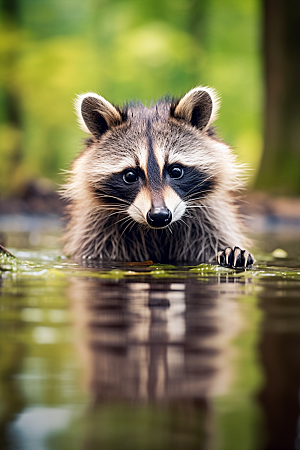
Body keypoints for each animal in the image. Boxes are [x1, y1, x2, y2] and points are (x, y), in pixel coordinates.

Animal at [62, 87, 253, 268]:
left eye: (176, 171)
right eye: (130, 175)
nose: (159, 215)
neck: (158, 231)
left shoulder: (210, 221)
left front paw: (230, 253)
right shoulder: (97, 232)